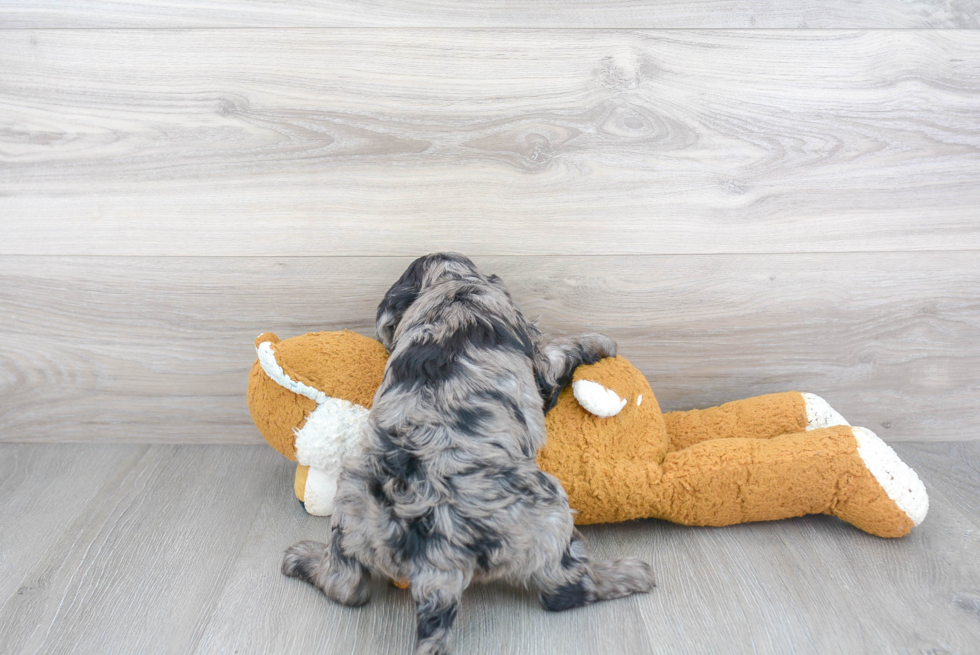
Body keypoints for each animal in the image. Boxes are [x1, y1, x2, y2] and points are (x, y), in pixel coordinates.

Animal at [282, 254, 652, 652]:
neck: (452, 287)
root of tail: (434, 558)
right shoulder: (540, 366)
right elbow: (561, 350)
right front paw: (600, 342)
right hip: (549, 505)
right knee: (562, 590)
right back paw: (630, 573)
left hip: (351, 502)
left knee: (346, 586)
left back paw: (301, 558)